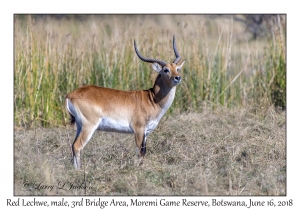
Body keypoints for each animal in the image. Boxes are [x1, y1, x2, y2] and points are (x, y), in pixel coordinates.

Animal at [65, 34, 185, 169]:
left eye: (177, 69)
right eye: (166, 70)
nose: (177, 78)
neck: (152, 99)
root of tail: (71, 95)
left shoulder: (146, 132)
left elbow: (144, 150)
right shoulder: (138, 129)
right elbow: (141, 151)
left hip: (80, 126)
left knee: (73, 145)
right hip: (89, 126)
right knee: (77, 146)